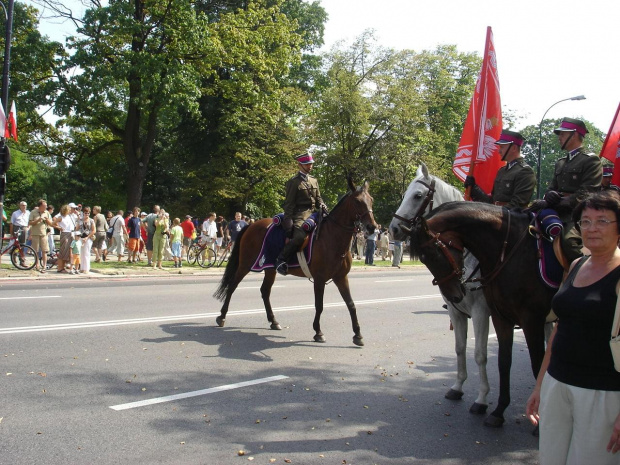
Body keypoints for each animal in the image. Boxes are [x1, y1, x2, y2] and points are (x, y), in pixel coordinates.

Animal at [213, 178, 378, 344]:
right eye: (357, 201)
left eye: (371, 200)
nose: (372, 227)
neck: (332, 238)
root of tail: (251, 225)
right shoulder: (319, 279)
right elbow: (319, 305)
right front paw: (318, 332)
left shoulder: (341, 277)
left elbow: (351, 304)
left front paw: (357, 335)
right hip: (245, 265)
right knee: (232, 286)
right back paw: (222, 316)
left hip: (270, 269)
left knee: (265, 291)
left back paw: (274, 321)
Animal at [390, 163, 492, 414]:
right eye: (404, 194)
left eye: (418, 196)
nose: (393, 229)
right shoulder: (456, 311)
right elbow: (460, 347)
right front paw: (457, 387)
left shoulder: (481, 313)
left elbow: (480, 354)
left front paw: (482, 398)